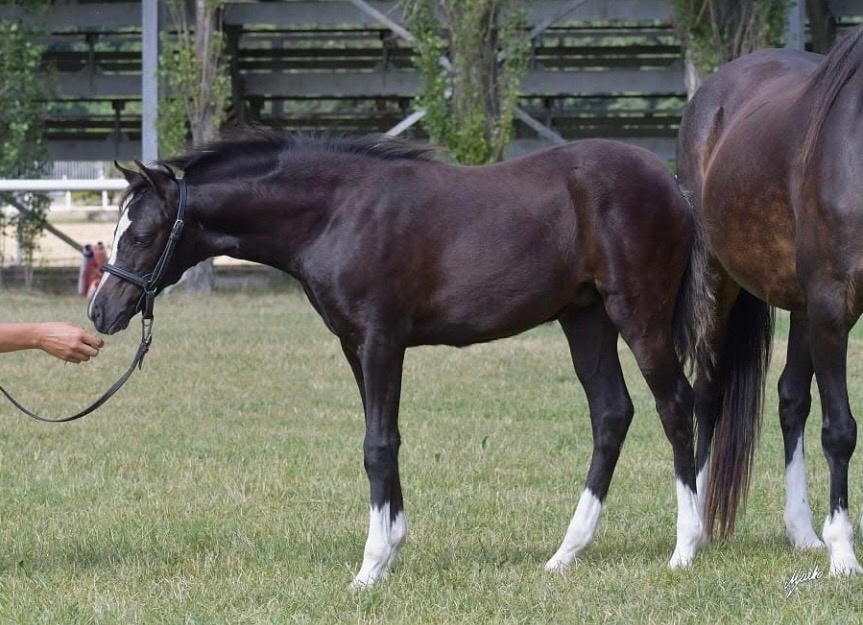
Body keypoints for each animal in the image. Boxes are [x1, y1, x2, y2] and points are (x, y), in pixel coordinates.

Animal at [88, 130, 711, 587]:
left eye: (140, 236)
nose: (101, 312)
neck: (338, 213)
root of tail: (670, 182)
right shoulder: (355, 346)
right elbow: (382, 441)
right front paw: (389, 551)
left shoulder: (381, 342)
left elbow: (378, 445)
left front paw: (370, 568)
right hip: (584, 319)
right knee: (611, 414)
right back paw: (566, 553)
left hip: (639, 317)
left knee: (677, 408)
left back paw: (686, 547)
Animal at [677, 25, 863, 576]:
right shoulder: (831, 308)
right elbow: (840, 430)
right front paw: (845, 553)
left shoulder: (818, 309)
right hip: (720, 284)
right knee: (708, 394)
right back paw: (692, 532)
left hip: (799, 305)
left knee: (790, 400)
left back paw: (802, 531)